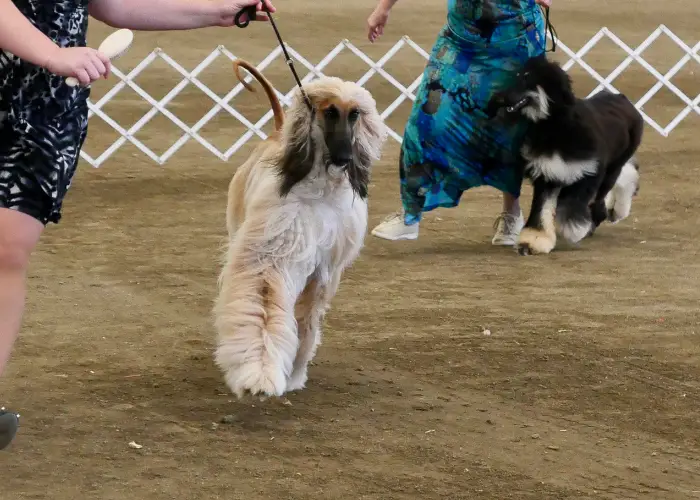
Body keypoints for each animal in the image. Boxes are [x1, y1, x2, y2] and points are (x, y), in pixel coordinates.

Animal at [213, 61, 388, 398]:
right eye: (329, 112)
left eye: (355, 114)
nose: (345, 158)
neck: (321, 190)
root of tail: (276, 132)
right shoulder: (272, 249)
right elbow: (263, 305)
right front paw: (259, 372)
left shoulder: (325, 270)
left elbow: (307, 324)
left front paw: (294, 373)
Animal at [486, 56, 644, 256]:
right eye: (517, 74)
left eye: (526, 77)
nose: (497, 97)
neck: (556, 124)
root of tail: (622, 98)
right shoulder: (548, 173)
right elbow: (542, 208)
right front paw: (534, 240)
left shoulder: (588, 172)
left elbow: (571, 206)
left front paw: (571, 229)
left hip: (613, 167)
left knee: (603, 194)